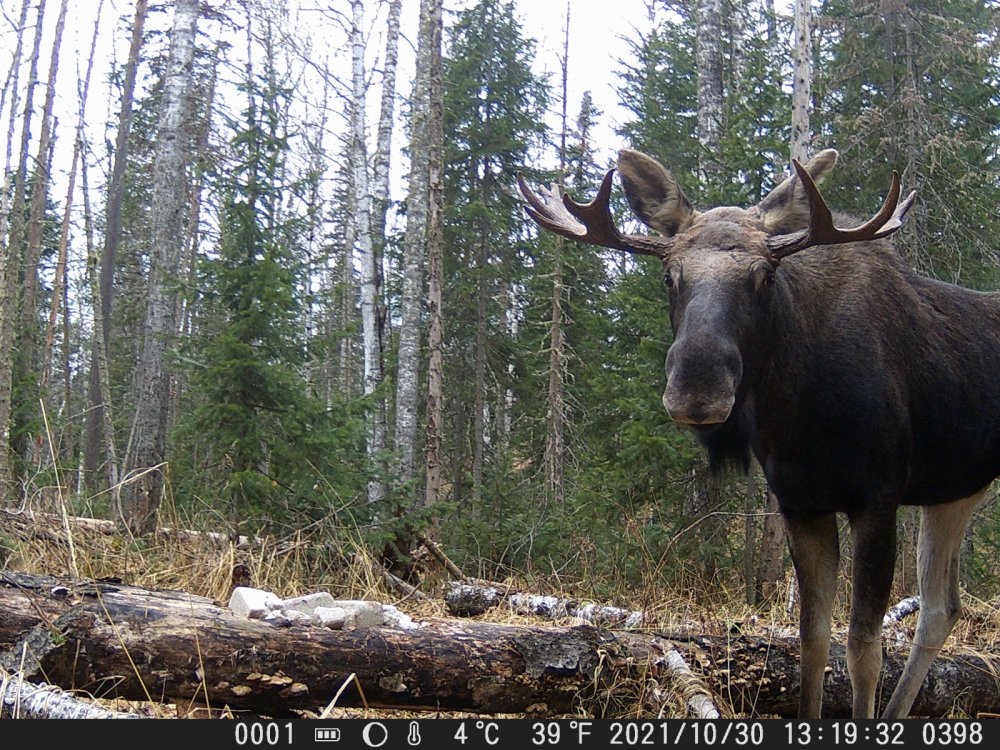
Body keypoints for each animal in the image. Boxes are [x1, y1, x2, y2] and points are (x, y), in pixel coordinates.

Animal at [518, 148, 1000, 719]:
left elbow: (863, 647)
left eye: (766, 276)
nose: (697, 387)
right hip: (954, 491)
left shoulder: (877, 498)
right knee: (941, 608)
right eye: (669, 276)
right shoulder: (800, 503)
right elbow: (812, 639)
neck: (801, 413)